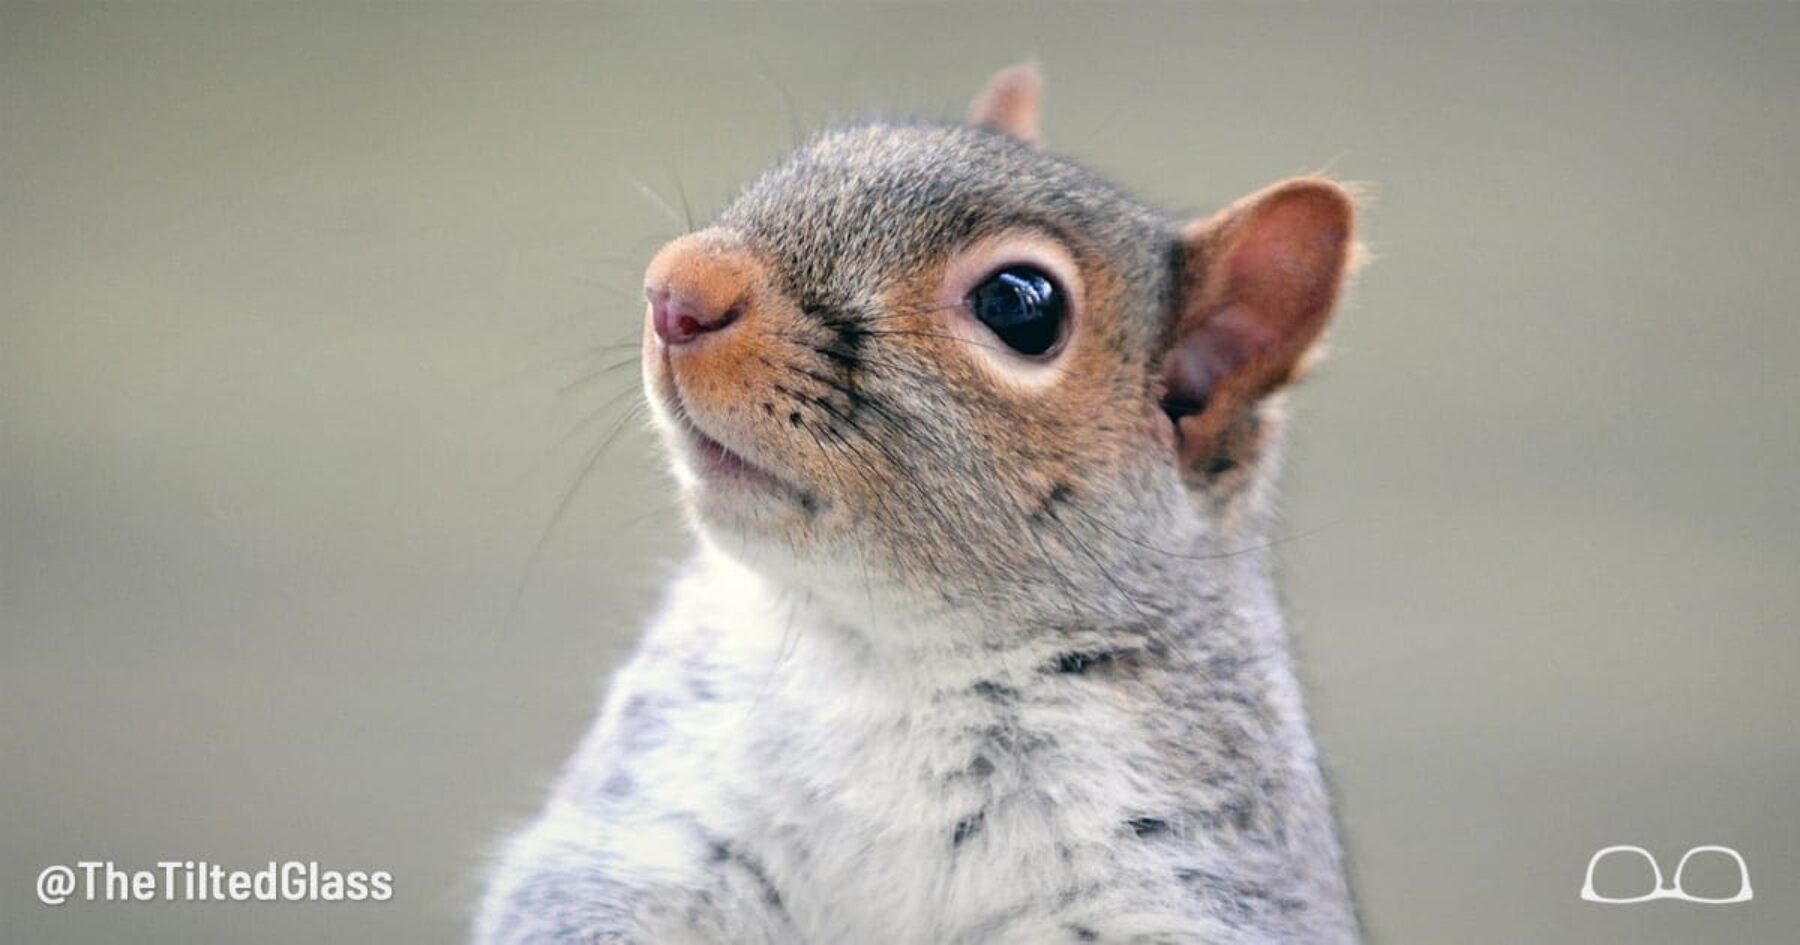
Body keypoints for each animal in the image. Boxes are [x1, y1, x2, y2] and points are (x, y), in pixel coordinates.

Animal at [477, 64, 1362, 944]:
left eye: (1020, 304)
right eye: (818, 153)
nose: (676, 289)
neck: (888, 656)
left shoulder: (1186, 880)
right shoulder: (645, 826)